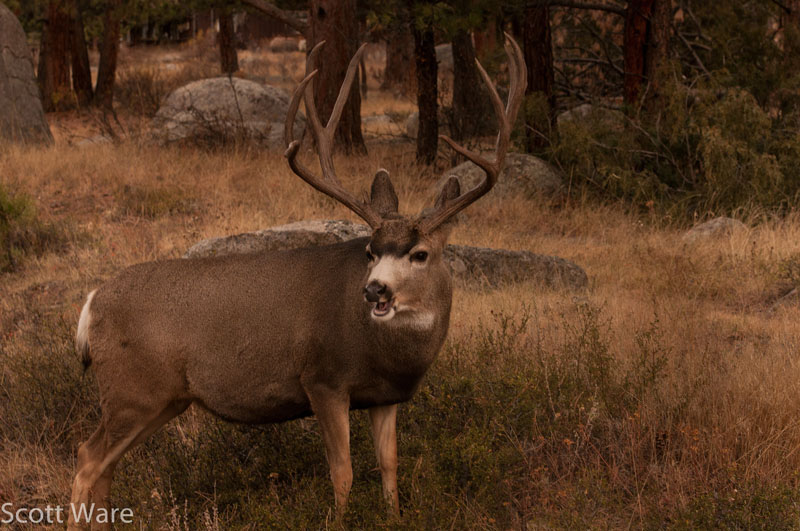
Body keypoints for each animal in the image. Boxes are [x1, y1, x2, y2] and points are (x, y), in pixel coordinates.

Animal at [67, 34, 525, 529]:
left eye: (420, 254)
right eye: (370, 251)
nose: (375, 290)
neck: (386, 350)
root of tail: (92, 302)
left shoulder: (384, 397)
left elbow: (389, 467)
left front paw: (395, 517)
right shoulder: (323, 378)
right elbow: (342, 472)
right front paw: (340, 521)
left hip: (164, 397)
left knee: (106, 466)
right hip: (132, 387)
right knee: (87, 458)